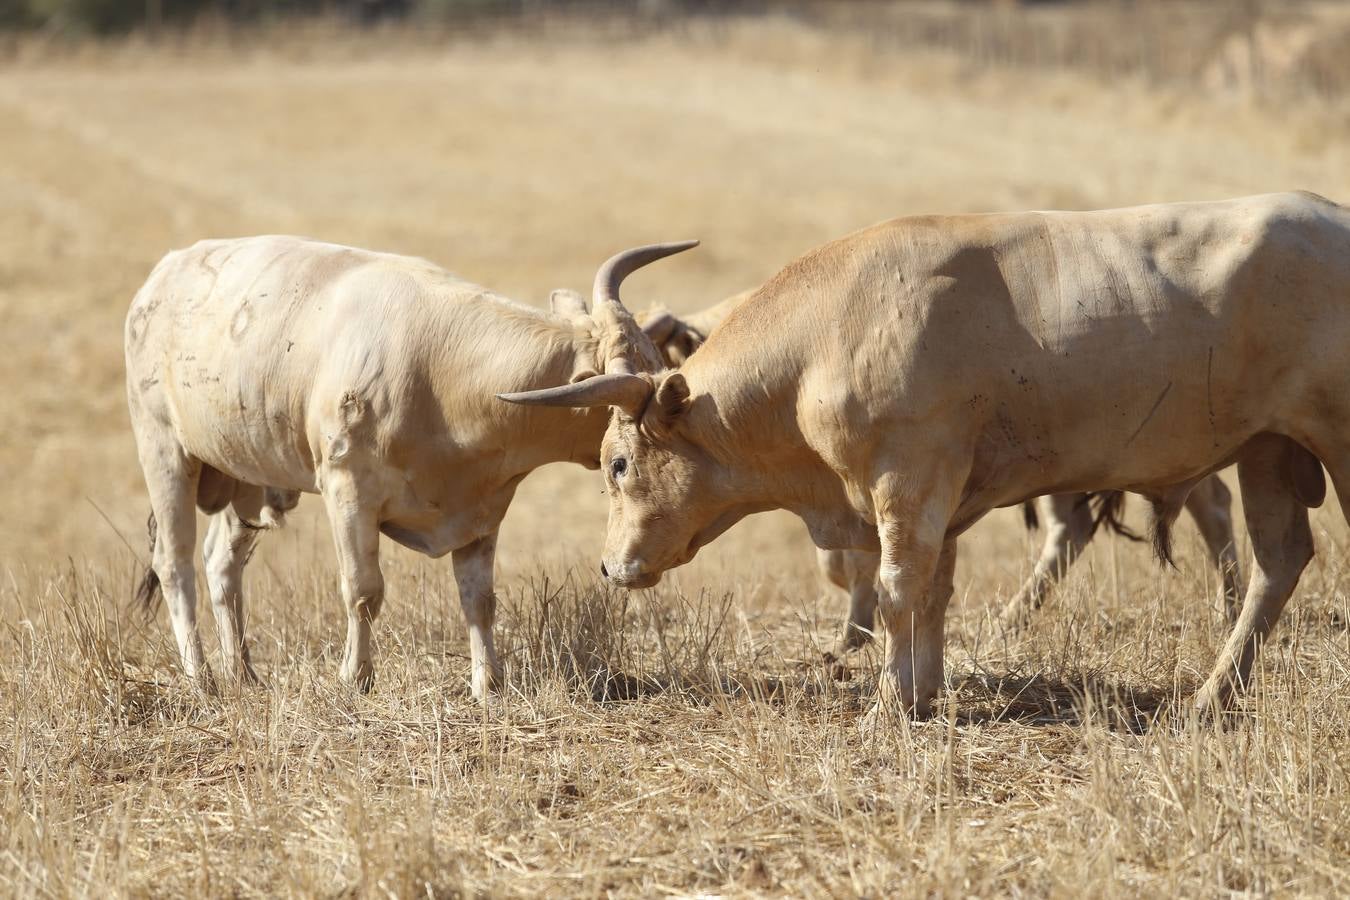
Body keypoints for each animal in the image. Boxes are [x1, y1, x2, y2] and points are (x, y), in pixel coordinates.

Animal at [126, 236, 696, 696]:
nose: (678, 399)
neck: (446, 378)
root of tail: (163, 275)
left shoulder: (481, 509)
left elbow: (479, 599)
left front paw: (488, 685)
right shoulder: (349, 492)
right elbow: (363, 591)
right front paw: (356, 678)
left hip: (246, 478)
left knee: (221, 563)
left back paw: (242, 674)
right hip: (163, 451)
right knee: (175, 564)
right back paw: (201, 679)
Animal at [507, 194, 1350, 723]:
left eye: (617, 464)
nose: (612, 566)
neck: (825, 332)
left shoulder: (906, 482)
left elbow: (896, 590)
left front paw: (889, 703)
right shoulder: (936, 500)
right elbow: (933, 592)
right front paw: (922, 692)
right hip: (1269, 450)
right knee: (1278, 560)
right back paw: (1212, 695)